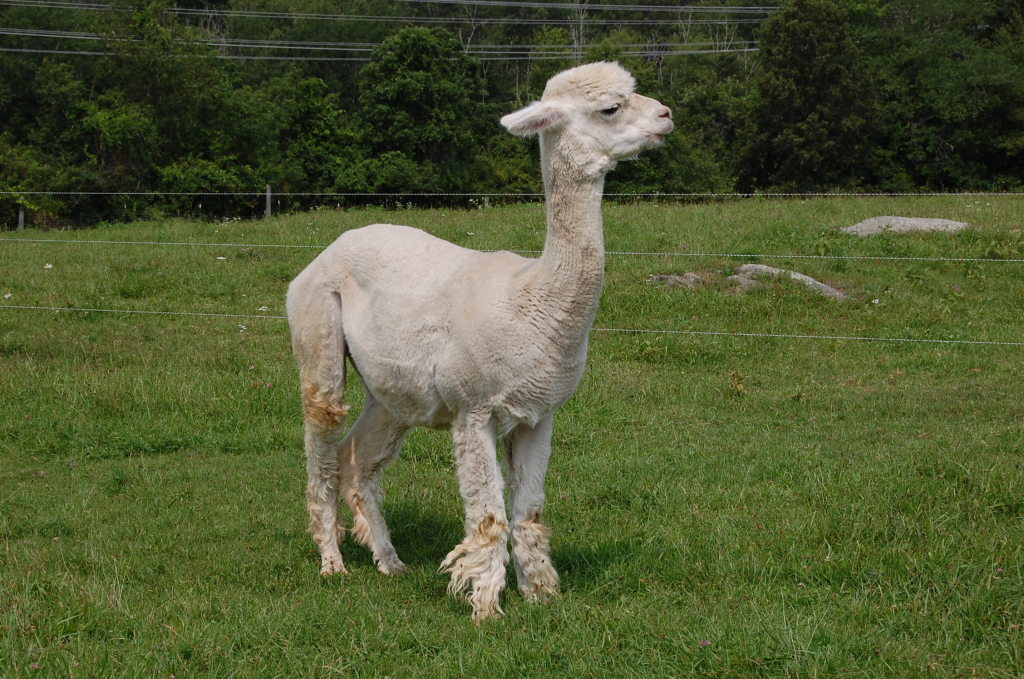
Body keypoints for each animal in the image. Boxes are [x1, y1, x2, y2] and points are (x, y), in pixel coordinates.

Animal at [286, 62, 673, 621]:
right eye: (610, 107)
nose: (666, 116)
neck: (532, 299)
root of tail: (328, 249)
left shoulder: (539, 413)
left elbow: (529, 512)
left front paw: (540, 595)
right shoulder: (476, 409)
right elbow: (489, 517)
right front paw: (486, 606)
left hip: (395, 390)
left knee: (357, 459)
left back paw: (389, 561)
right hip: (317, 328)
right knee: (323, 443)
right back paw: (332, 561)